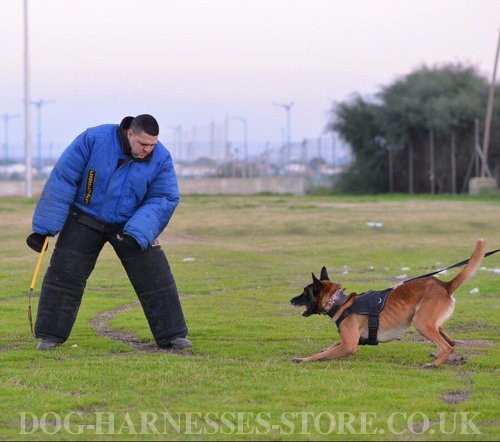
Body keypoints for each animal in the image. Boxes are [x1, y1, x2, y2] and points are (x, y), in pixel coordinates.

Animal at [292, 238, 486, 366]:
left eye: (305, 292)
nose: (291, 300)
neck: (341, 303)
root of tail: (445, 285)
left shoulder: (349, 345)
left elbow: (321, 355)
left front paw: (303, 359)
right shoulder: (350, 340)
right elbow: (330, 346)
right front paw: (321, 349)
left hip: (421, 323)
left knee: (447, 347)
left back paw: (435, 364)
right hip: (428, 321)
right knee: (449, 341)